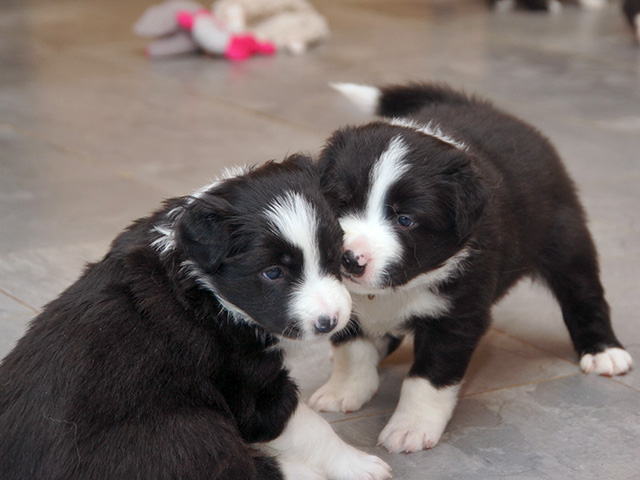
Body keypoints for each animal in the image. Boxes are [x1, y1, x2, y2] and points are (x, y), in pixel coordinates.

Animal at [0, 155, 391, 480]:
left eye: (334, 253)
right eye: (273, 273)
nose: (331, 321)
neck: (205, 287)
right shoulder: (247, 382)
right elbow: (310, 428)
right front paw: (358, 465)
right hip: (192, 428)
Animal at [308, 82, 633, 454]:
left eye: (405, 220)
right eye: (340, 202)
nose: (349, 258)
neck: (401, 289)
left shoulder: (458, 315)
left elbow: (427, 378)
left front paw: (410, 428)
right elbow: (352, 351)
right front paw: (344, 391)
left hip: (565, 240)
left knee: (584, 294)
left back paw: (605, 350)